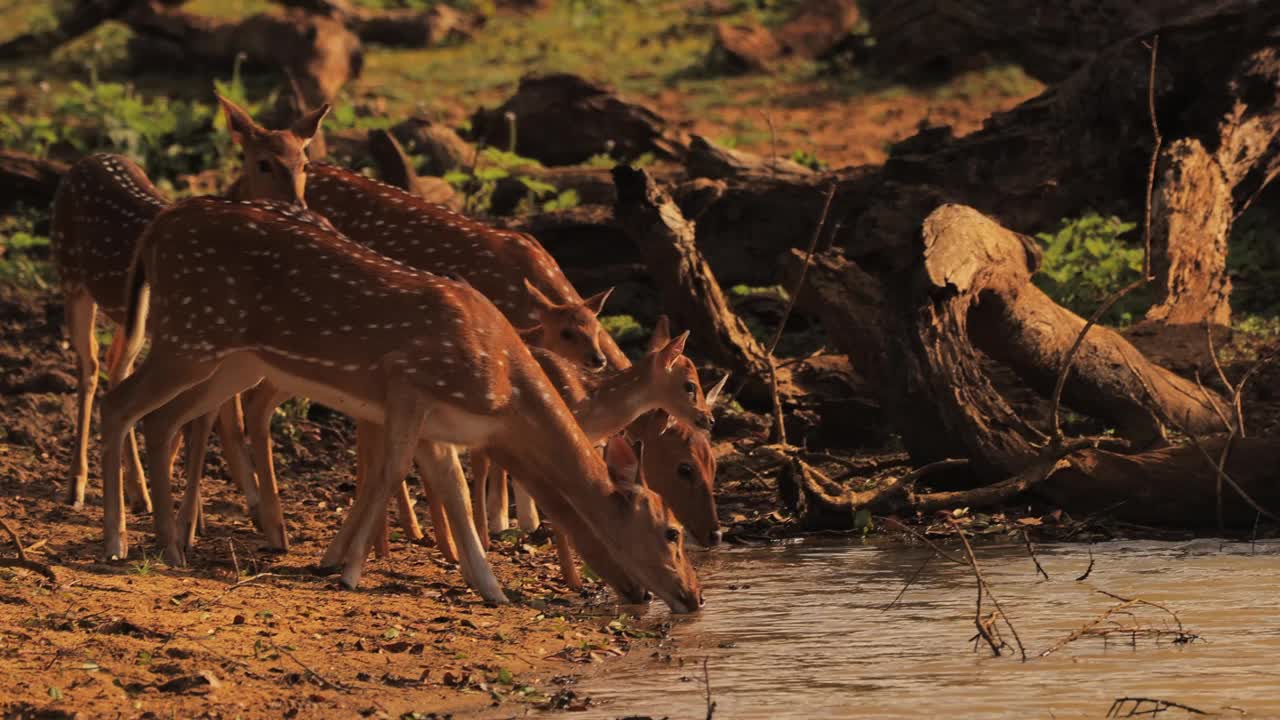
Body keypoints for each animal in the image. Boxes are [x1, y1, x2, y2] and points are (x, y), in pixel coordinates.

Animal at [48, 95, 330, 509]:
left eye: (305, 163)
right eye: (263, 162)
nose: (299, 204)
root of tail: (84, 160)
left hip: (130, 317)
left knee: (116, 367)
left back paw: (137, 491)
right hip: (71, 279)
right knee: (90, 368)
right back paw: (78, 484)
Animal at [107, 197, 711, 609]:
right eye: (671, 532)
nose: (694, 597)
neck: (505, 391)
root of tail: (159, 226)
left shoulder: (442, 425)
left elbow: (454, 492)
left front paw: (492, 589)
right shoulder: (409, 383)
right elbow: (391, 470)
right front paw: (349, 572)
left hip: (229, 357)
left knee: (161, 419)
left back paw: (170, 545)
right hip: (191, 332)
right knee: (121, 403)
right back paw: (121, 542)